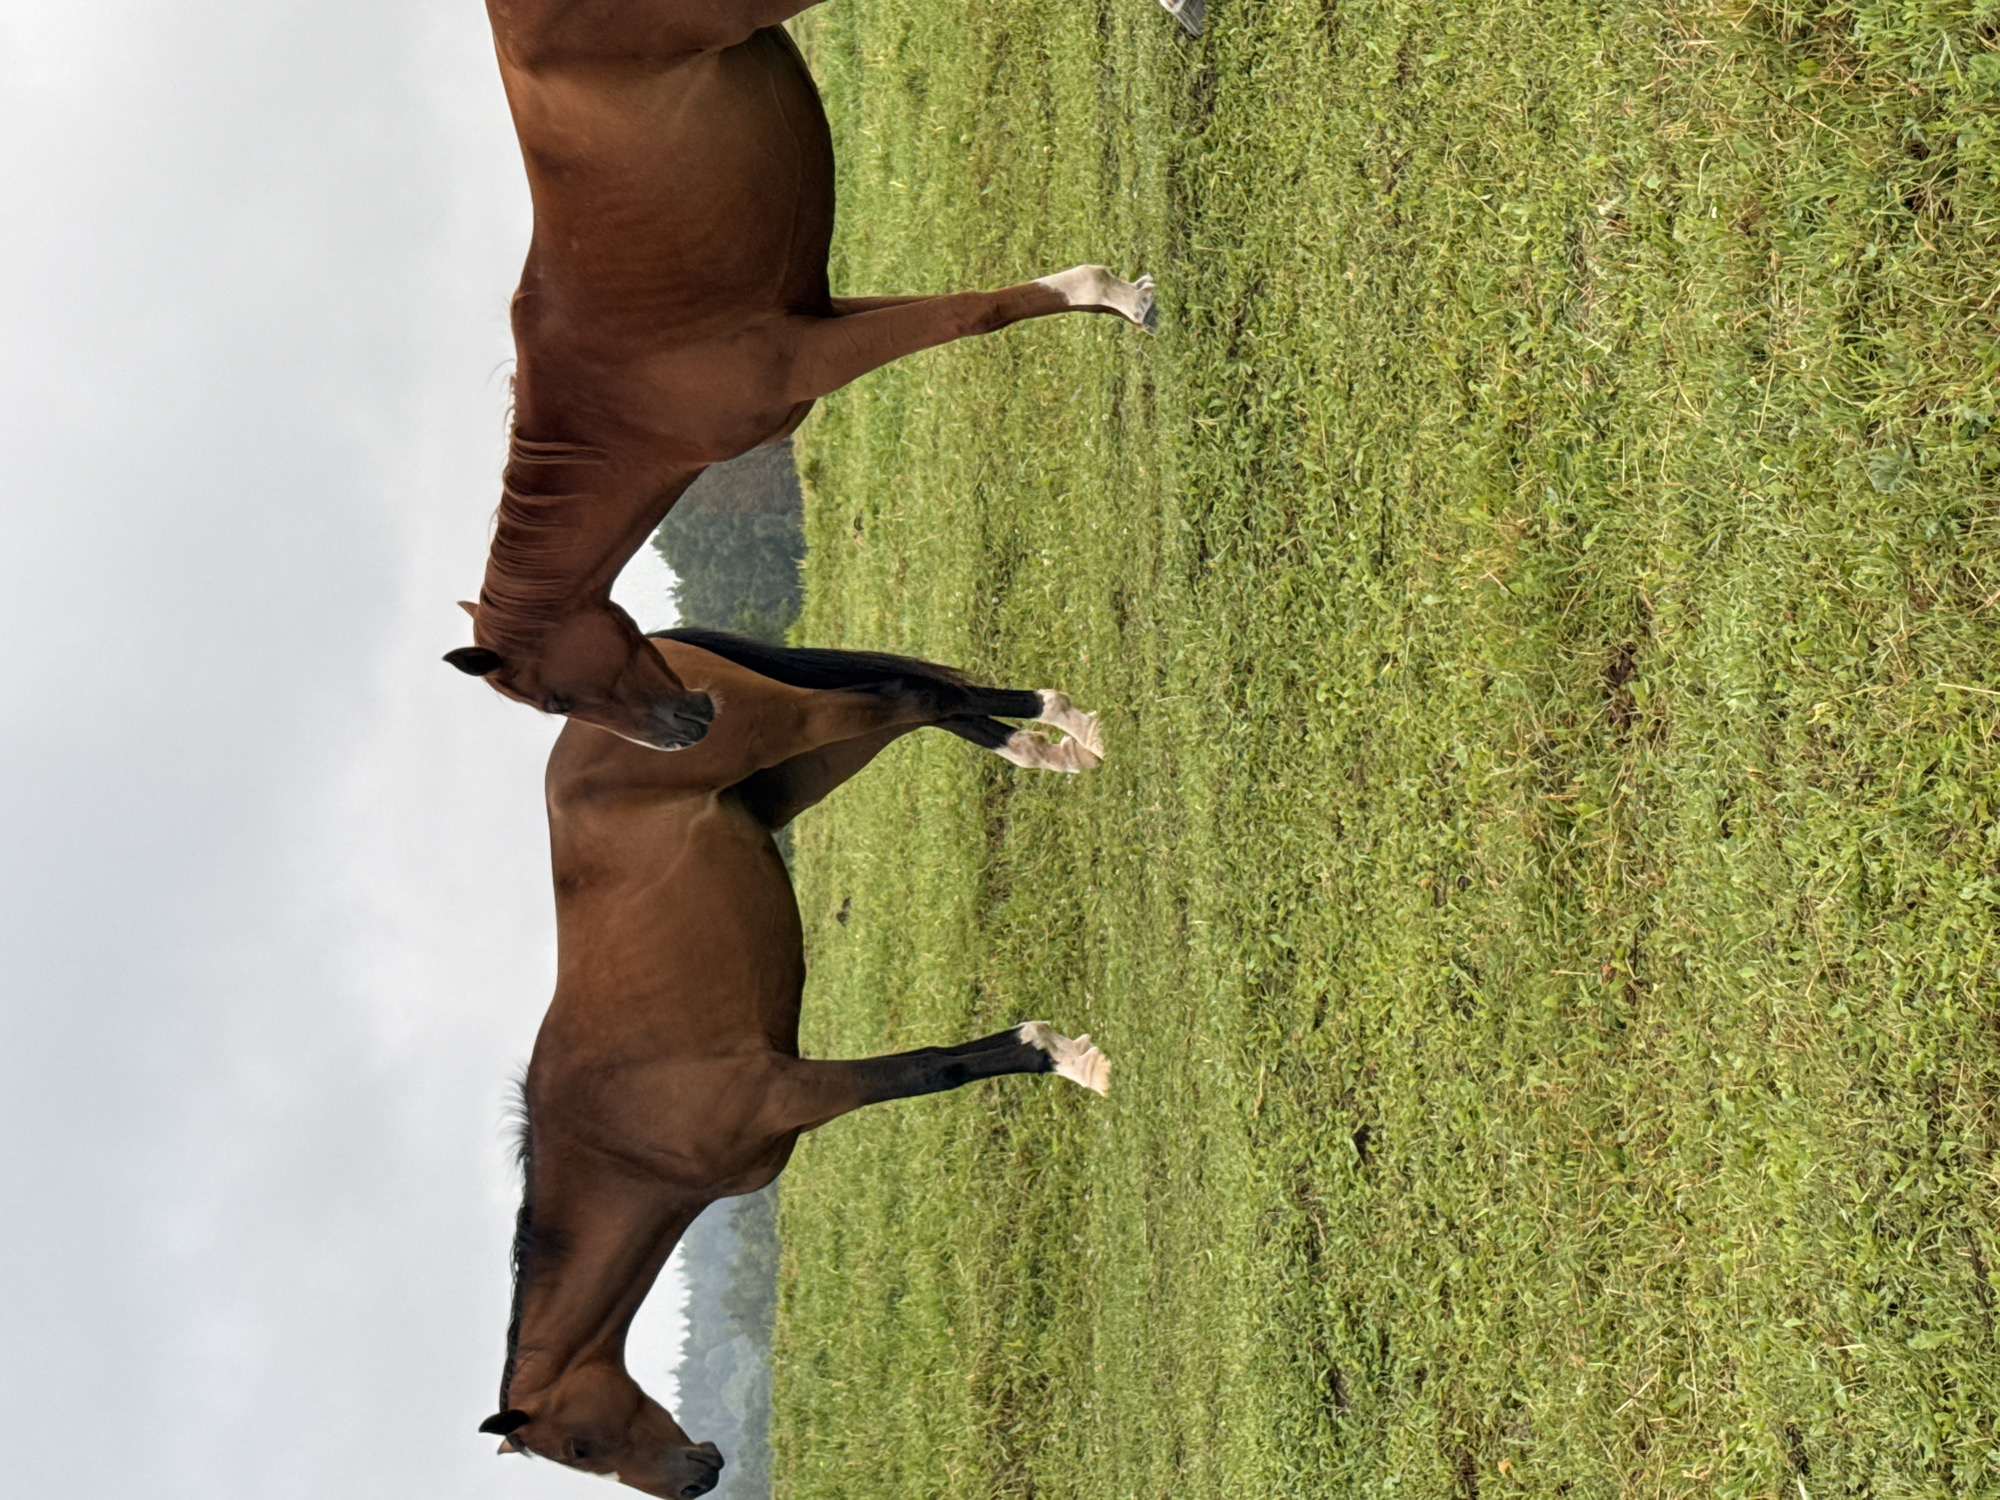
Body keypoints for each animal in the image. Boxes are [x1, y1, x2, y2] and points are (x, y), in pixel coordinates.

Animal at [443, 0, 1158, 751]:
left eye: (554, 699)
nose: (683, 734)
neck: (615, 413)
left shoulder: (810, 355)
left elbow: (978, 313)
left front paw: (1117, 294)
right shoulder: (826, 318)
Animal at [479, 629, 1112, 1497]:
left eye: (579, 1447)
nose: (696, 1478)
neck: (617, 1138)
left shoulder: (792, 1088)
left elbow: (933, 1070)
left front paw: (1064, 1055)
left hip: (801, 728)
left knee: (916, 698)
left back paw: (1065, 726)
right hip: (815, 756)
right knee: (932, 707)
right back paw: (1059, 743)